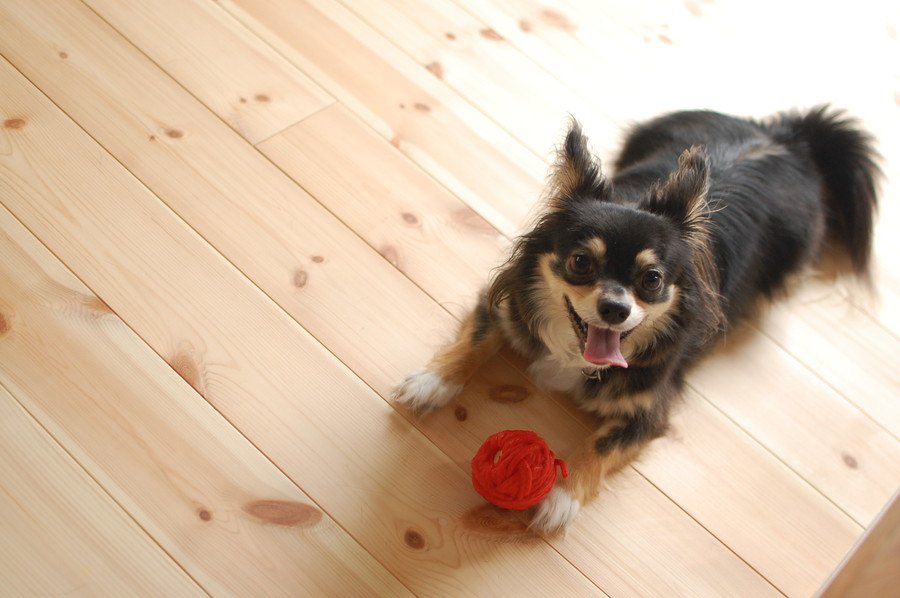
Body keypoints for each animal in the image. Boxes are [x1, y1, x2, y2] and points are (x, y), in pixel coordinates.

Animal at [392, 106, 880, 536]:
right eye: (580, 262)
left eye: (652, 279)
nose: (616, 308)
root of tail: (787, 137)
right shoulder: (505, 307)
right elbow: (474, 341)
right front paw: (431, 383)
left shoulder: (647, 413)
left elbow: (600, 444)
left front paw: (562, 499)